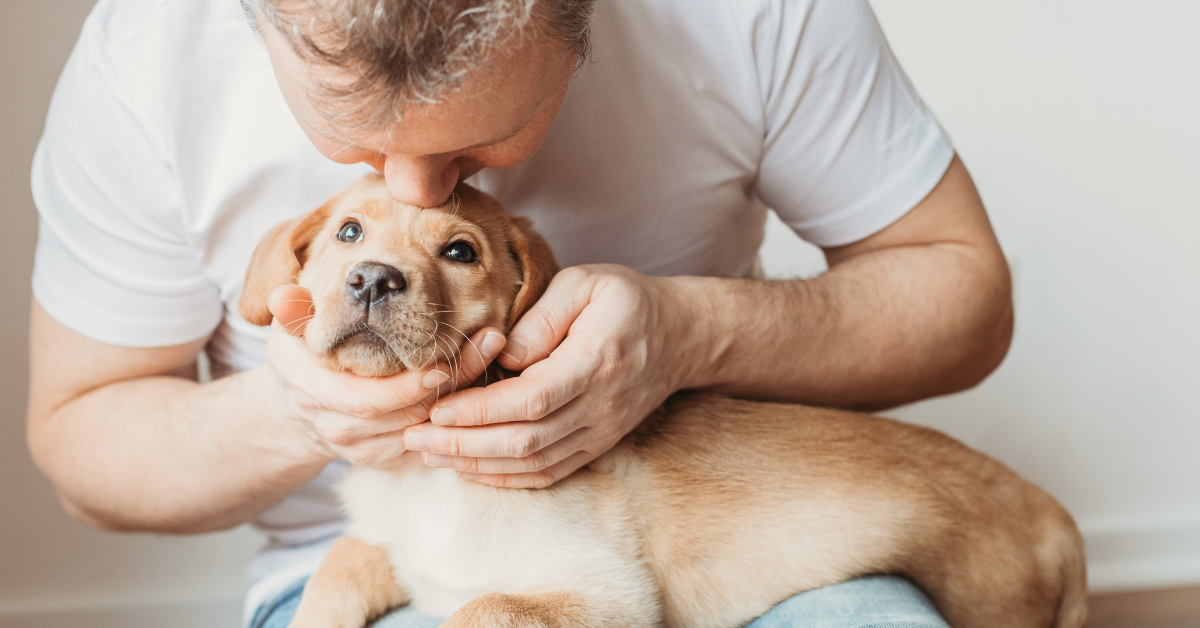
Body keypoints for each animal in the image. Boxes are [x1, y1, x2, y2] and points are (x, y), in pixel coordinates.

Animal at [238, 174, 1084, 628]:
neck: (427, 480)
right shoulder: (396, 547)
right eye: (349, 232)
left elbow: (478, 608)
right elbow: (340, 562)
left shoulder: (605, 596)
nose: (372, 279)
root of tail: (1059, 520)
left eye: (460, 252)